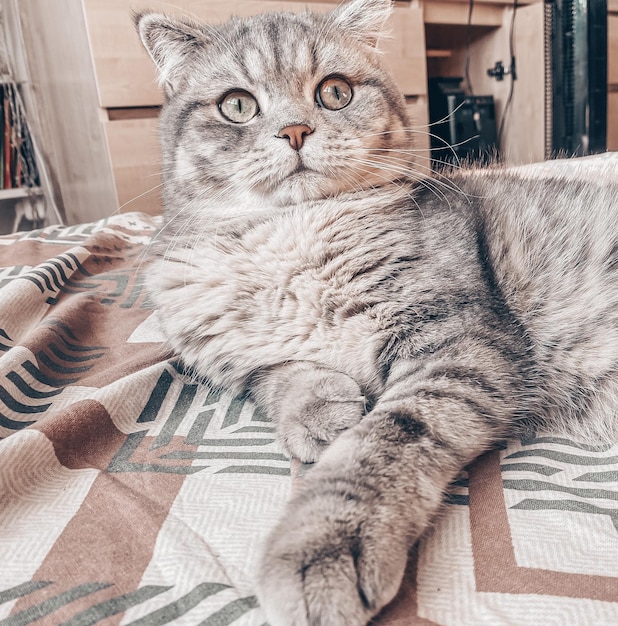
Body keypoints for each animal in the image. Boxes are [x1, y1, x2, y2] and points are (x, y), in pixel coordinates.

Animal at [135, 2, 616, 620]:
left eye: (335, 92)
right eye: (237, 104)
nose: (295, 130)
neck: (292, 243)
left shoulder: (461, 341)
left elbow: (388, 436)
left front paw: (326, 538)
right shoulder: (226, 351)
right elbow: (275, 373)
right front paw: (318, 407)